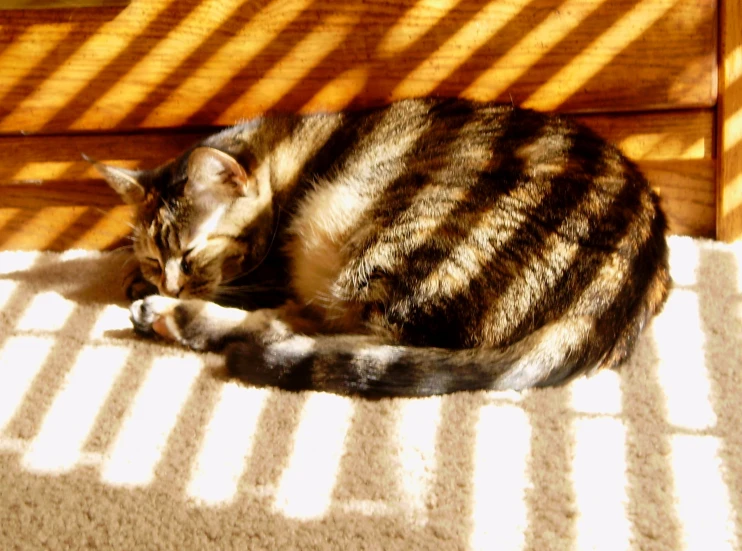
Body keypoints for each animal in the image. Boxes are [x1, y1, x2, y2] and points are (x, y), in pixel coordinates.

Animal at [93, 96, 676, 396]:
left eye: (191, 254)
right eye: (155, 256)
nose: (167, 281)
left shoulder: (269, 270)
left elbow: (252, 295)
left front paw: (162, 294)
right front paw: (135, 277)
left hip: (381, 242)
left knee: (309, 331)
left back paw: (174, 317)